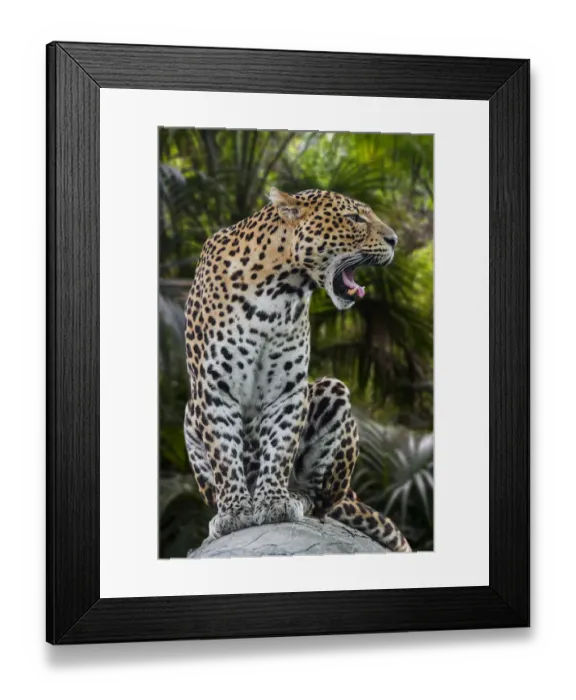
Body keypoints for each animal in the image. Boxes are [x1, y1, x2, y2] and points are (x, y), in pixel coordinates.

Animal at [184, 187, 412, 553]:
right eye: (354, 218)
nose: (395, 239)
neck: (277, 291)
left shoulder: (288, 389)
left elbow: (280, 446)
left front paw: (275, 503)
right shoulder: (213, 385)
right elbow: (224, 451)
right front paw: (233, 512)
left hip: (332, 393)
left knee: (321, 500)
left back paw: (296, 498)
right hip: (190, 416)